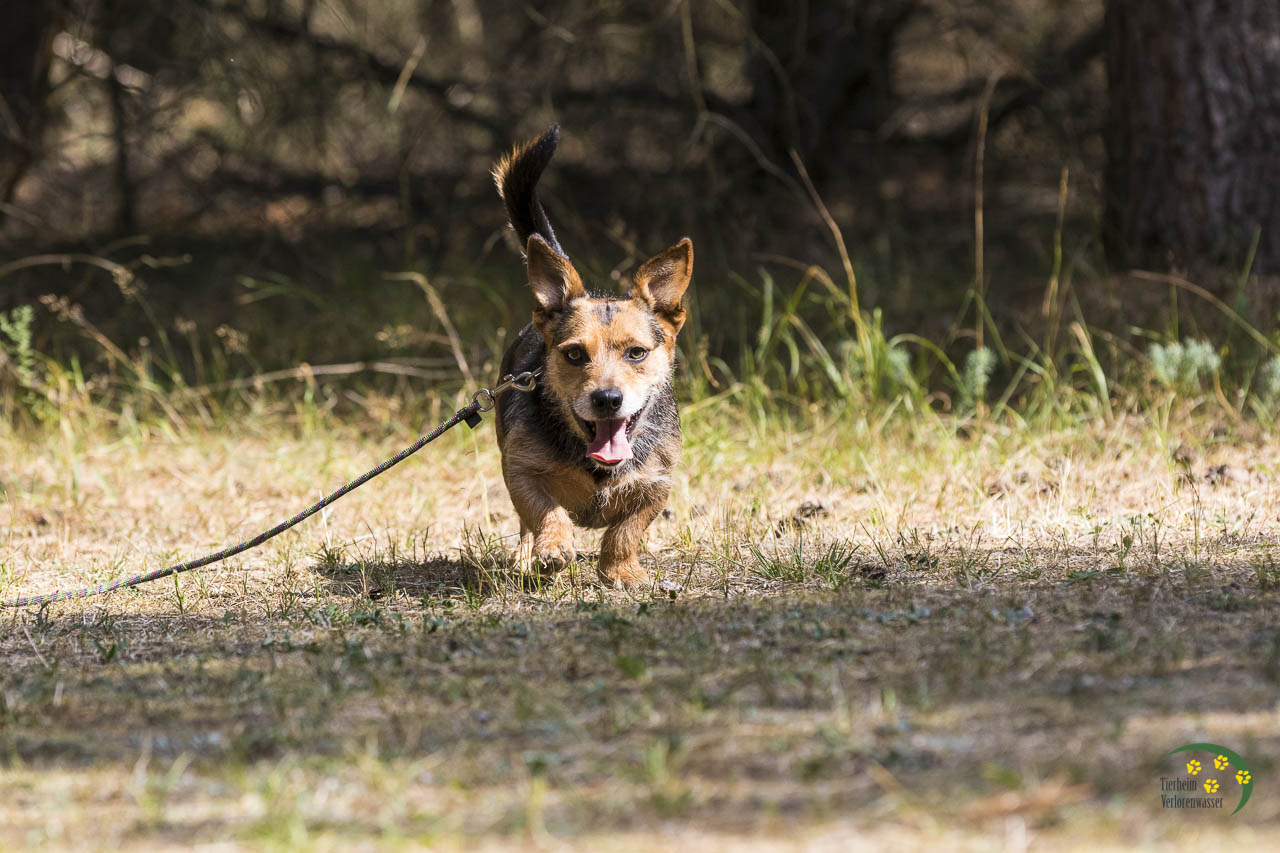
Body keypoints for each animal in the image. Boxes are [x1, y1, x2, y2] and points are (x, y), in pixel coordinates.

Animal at [491, 126, 693, 588]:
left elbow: (627, 528)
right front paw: (552, 546)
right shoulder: (520, 468)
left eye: (636, 353)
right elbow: (543, 510)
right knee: (526, 525)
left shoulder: (657, 482)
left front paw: (621, 570)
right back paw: (528, 555)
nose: (607, 399)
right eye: (574, 354)